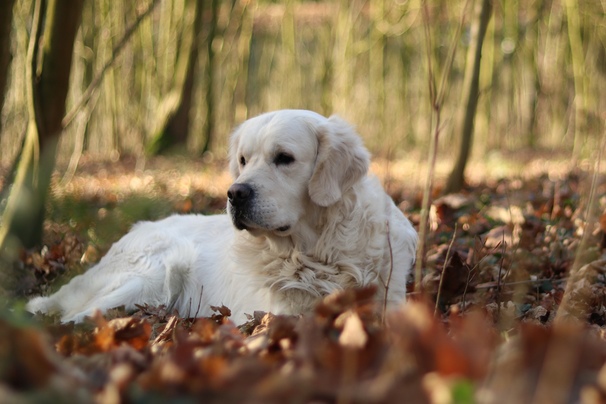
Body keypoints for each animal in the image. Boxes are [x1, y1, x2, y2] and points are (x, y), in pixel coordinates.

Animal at [25, 110, 418, 326]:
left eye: (284, 158)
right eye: (243, 160)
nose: (235, 193)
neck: (317, 250)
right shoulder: (280, 312)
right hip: (152, 275)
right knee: (77, 314)